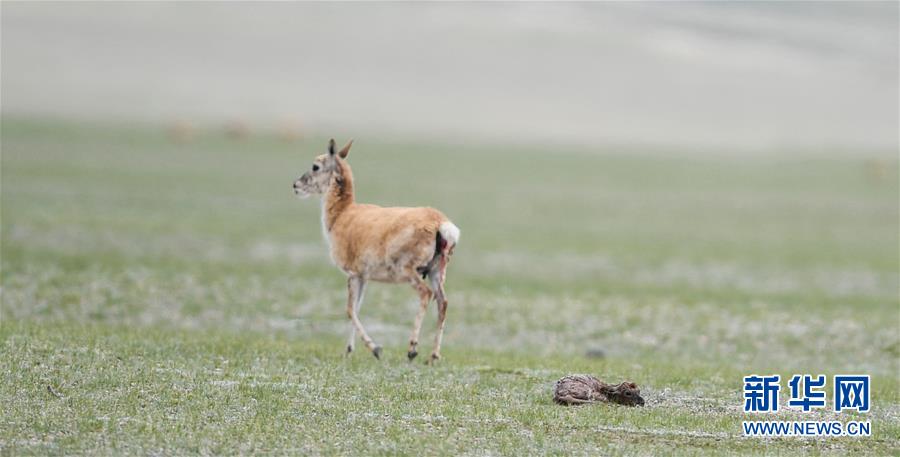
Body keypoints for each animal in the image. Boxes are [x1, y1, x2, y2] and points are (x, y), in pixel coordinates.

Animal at [296, 137, 460, 362]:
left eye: (315, 166)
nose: (295, 185)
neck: (343, 215)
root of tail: (441, 223)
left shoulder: (353, 274)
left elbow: (349, 309)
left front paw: (375, 349)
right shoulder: (364, 276)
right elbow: (357, 308)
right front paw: (349, 350)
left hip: (408, 271)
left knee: (426, 294)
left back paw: (412, 349)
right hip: (437, 271)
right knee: (443, 302)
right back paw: (433, 356)